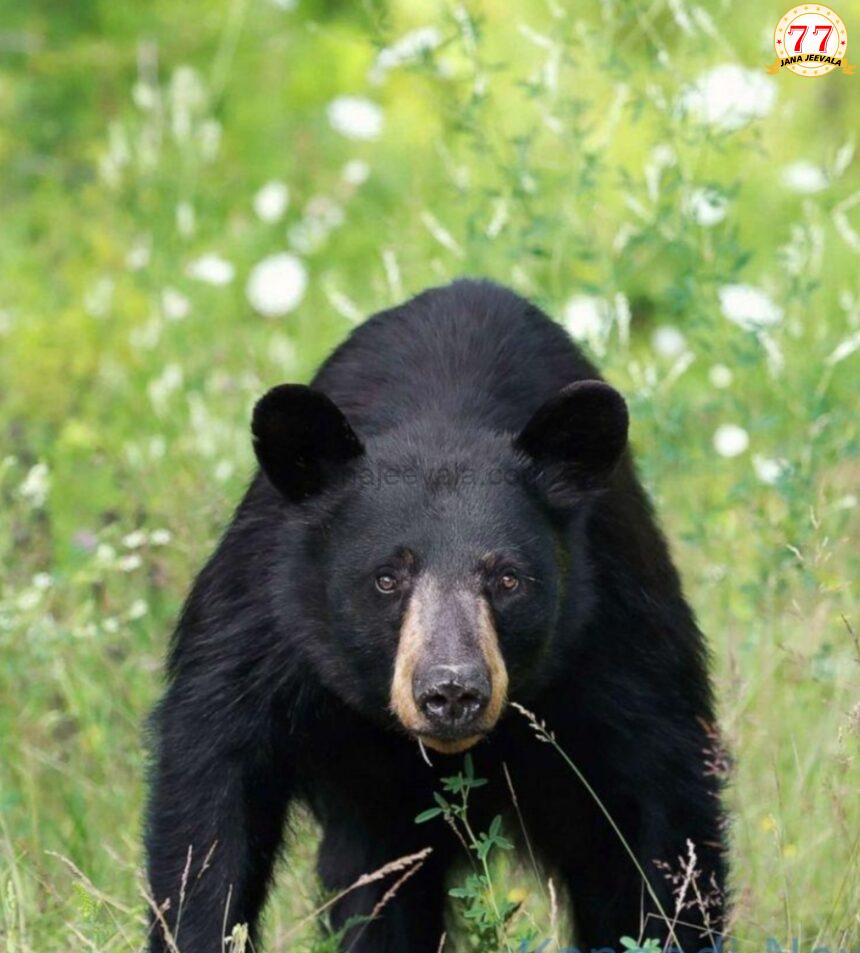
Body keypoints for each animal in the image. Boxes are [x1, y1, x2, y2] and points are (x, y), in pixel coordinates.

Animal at [146, 278, 724, 952]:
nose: (451, 692)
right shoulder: (262, 627)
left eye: (508, 579)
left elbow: (662, 820)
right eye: (386, 578)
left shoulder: (615, 632)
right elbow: (211, 812)